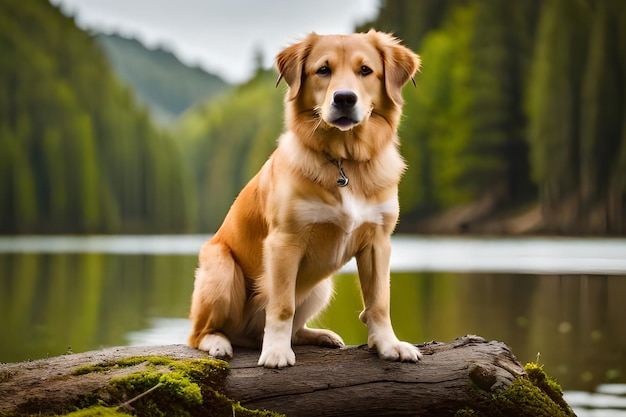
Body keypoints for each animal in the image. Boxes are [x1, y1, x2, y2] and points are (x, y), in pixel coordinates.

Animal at [186, 30, 420, 368]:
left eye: (365, 70)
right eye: (323, 70)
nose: (344, 98)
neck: (344, 162)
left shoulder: (378, 243)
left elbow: (379, 302)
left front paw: (389, 345)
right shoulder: (285, 243)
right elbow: (282, 306)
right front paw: (276, 352)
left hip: (322, 286)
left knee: (287, 329)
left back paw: (319, 336)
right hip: (221, 269)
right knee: (199, 333)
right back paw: (219, 342)